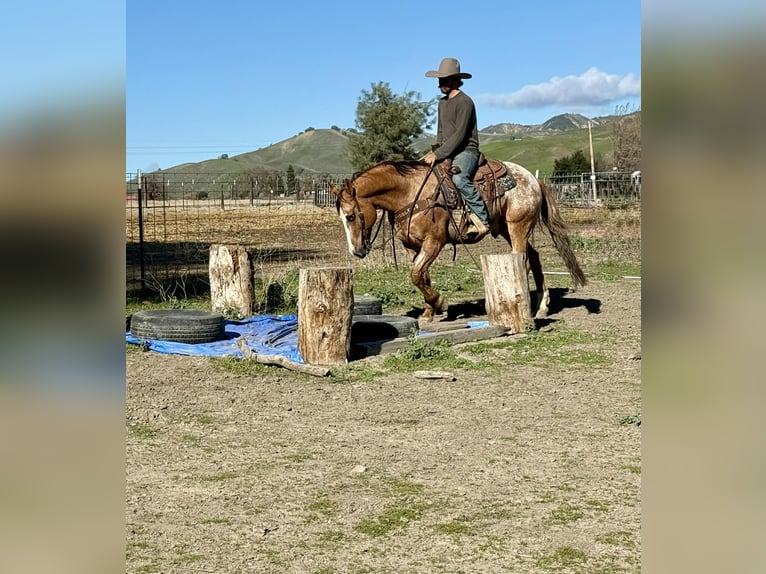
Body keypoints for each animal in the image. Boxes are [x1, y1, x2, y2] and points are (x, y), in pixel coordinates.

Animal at [329, 159, 586, 321]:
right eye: (341, 217)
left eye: (350, 216)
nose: (356, 251)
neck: (410, 192)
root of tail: (533, 179)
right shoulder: (413, 246)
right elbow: (422, 275)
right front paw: (428, 312)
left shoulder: (434, 242)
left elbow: (416, 274)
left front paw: (440, 303)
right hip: (506, 228)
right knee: (533, 256)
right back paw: (542, 307)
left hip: (518, 226)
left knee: (521, 259)